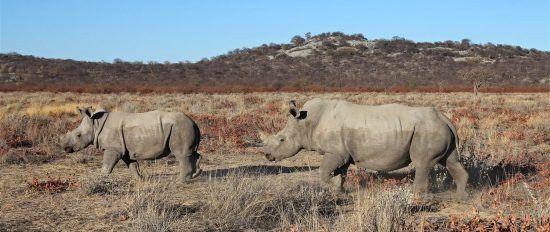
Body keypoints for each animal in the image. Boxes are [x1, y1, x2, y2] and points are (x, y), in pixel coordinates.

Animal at [60, 107, 203, 181]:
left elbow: (107, 165)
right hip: (184, 127)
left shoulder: (113, 149)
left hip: (180, 128)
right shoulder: (124, 150)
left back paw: (180, 181)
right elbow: (132, 165)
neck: (96, 125)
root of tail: (194, 123)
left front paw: (99, 179)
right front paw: (139, 179)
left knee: (181, 155)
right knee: (192, 153)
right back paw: (195, 175)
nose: (65, 148)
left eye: (78, 135)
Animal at [260, 99, 468, 198]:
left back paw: (415, 197)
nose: (267, 155)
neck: (306, 122)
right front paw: (340, 189)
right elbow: (340, 173)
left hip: (428, 130)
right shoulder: (342, 154)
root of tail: (445, 118)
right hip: (438, 129)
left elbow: (323, 172)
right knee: (451, 161)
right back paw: (459, 197)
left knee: (422, 164)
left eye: (282, 139)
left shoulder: (335, 152)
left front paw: (334, 187)